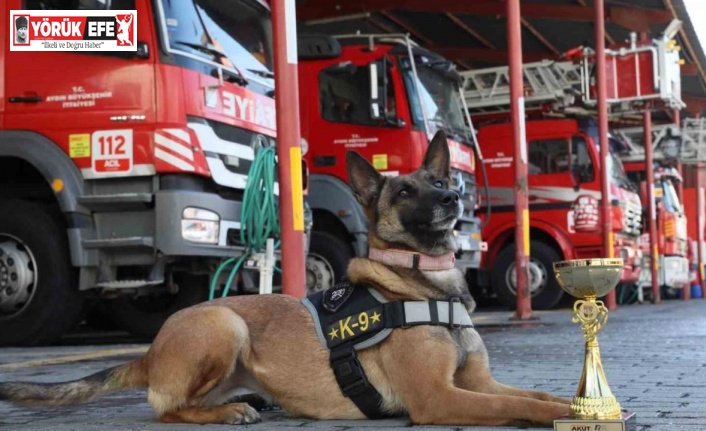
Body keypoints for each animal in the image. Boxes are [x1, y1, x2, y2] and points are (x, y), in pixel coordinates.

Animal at [0, 132, 568, 428]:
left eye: (439, 180)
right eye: (406, 192)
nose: (452, 197)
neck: (424, 287)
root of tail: (150, 352)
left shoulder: (477, 382)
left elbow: (534, 396)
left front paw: (574, 404)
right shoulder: (440, 400)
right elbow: (513, 404)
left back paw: (243, 402)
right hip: (225, 323)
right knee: (166, 410)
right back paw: (229, 412)